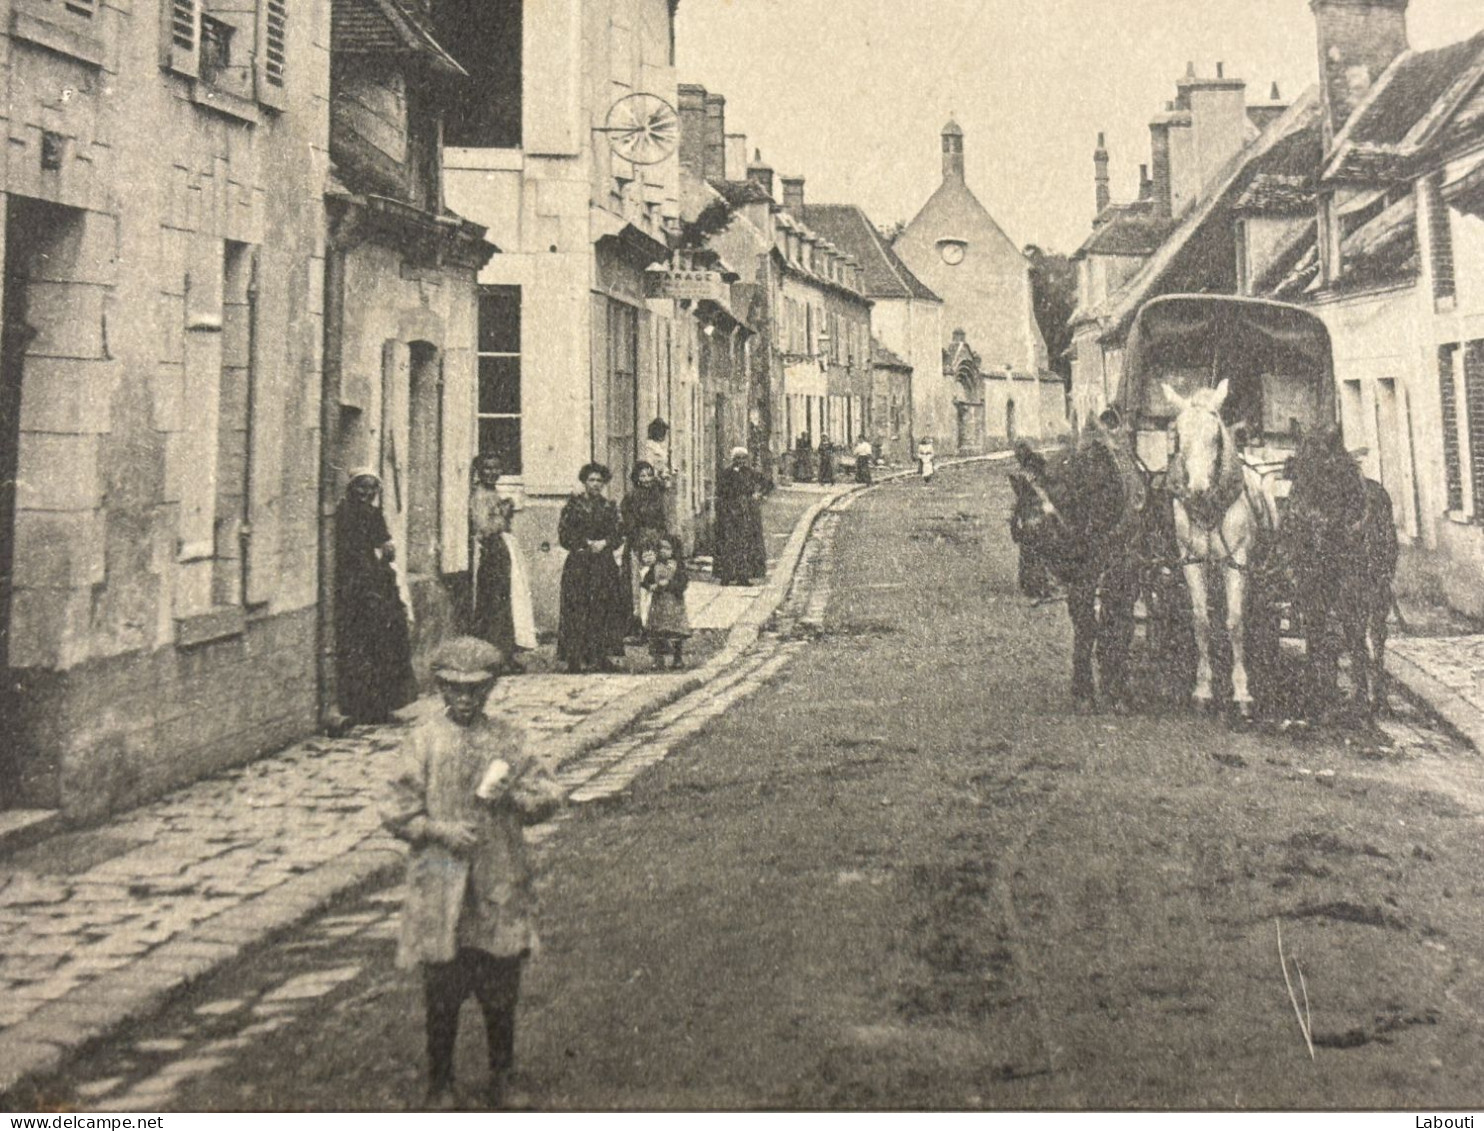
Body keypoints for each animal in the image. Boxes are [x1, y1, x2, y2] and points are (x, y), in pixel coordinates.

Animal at [1015, 430, 1139, 706]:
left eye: (1039, 529)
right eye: (1016, 533)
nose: (1029, 584)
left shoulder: (1120, 566)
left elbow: (1112, 620)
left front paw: (1113, 684)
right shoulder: (1079, 577)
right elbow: (1085, 625)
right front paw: (1084, 687)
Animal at [1157, 378, 1276, 712]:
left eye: (1216, 435)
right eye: (1179, 436)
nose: (1198, 489)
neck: (1210, 510)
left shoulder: (1237, 562)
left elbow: (1235, 622)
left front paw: (1242, 690)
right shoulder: (1192, 562)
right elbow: (1201, 621)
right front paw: (1203, 687)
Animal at [1282, 421, 1394, 712]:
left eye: (1326, 469)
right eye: (1295, 469)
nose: (1296, 520)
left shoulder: (1352, 590)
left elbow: (1355, 639)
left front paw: (1360, 698)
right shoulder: (1309, 588)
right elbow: (1315, 635)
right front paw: (1315, 690)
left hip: (1379, 591)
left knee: (1375, 635)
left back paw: (1378, 696)